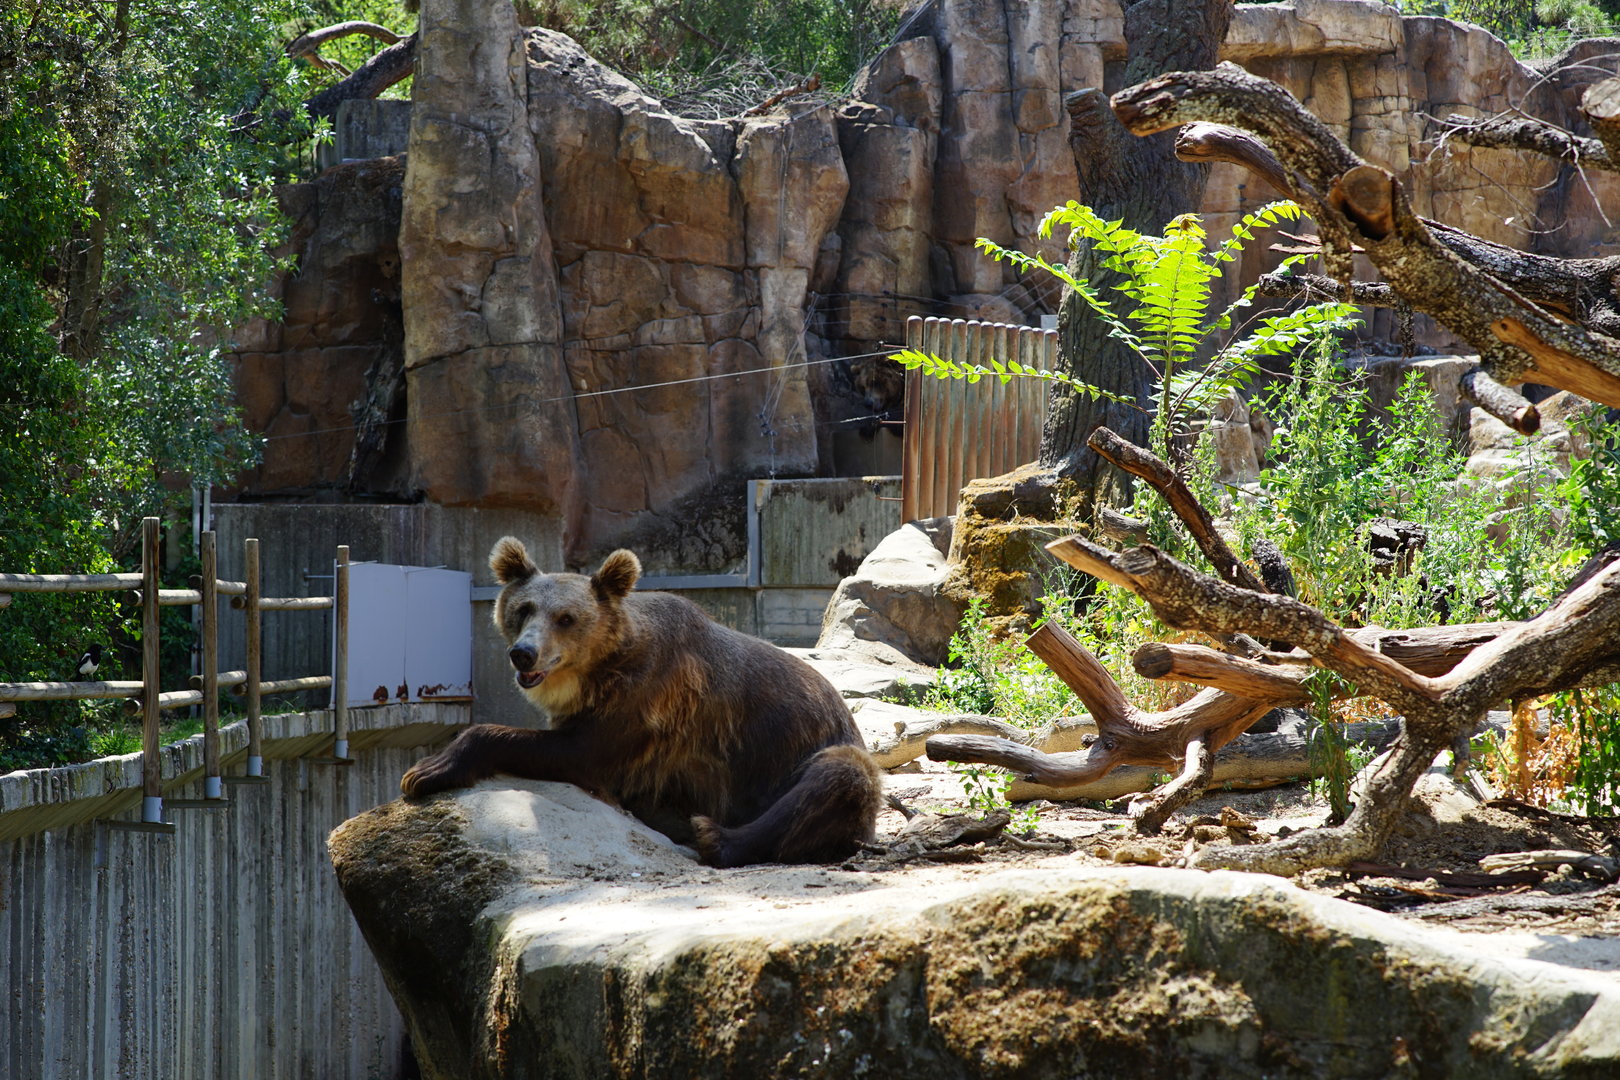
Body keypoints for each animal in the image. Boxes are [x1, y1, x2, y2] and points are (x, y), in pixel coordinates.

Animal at [399, 538, 885, 867]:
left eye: (566, 617)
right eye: (523, 609)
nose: (524, 653)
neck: (597, 672)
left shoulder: (646, 700)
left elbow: (580, 752)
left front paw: (425, 770)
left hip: (801, 759)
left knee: (837, 776)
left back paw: (712, 834)